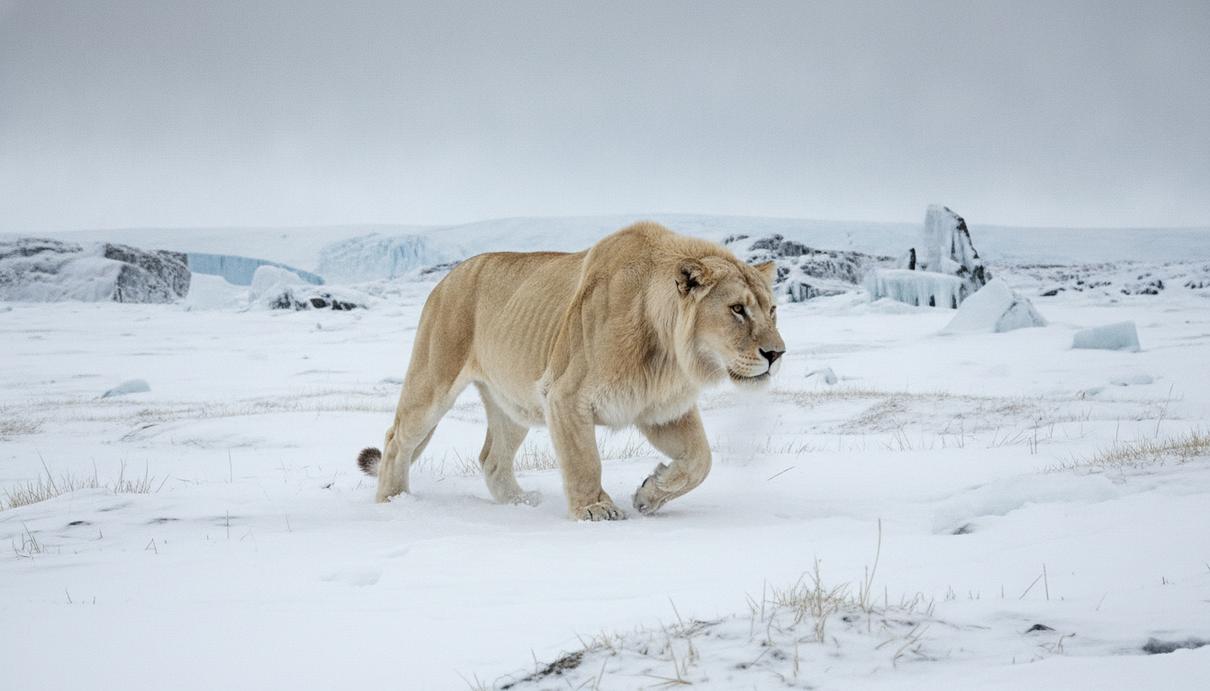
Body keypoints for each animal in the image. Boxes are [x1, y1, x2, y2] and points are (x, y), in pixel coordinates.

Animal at [356, 221, 786, 520]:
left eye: (772, 309)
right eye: (737, 309)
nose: (777, 353)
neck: (669, 355)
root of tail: (447, 277)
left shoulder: (661, 410)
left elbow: (701, 461)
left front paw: (649, 495)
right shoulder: (564, 396)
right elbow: (584, 460)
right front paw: (595, 510)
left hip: (512, 404)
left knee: (492, 458)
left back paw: (520, 503)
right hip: (433, 380)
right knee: (397, 439)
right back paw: (393, 501)